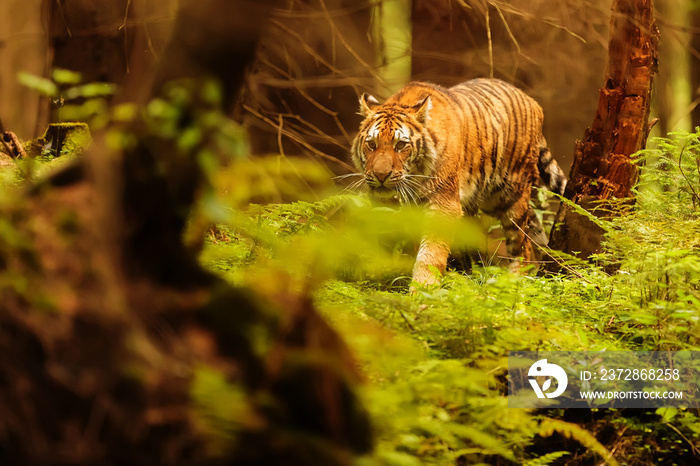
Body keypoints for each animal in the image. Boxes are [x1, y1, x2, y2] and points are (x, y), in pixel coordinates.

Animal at [350, 78, 568, 286]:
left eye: (401, 145)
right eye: (372, 144)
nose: (381, 175)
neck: (415, 177)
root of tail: (532, 101)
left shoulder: (444, 204)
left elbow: (430, 253)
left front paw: (423, 289)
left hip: (511, 196)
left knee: (522, 246)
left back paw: (515, 282)